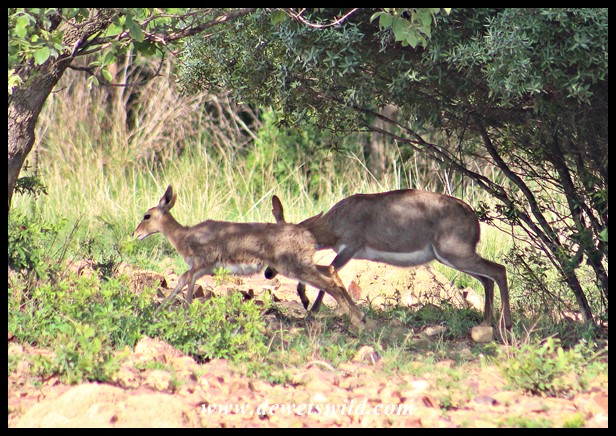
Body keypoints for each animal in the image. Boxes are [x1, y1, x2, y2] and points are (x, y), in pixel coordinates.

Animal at [132, 185, 366, 330]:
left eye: (147, 215)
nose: (135, 234)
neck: (183, 235)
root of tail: (307, 234)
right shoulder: (202, 269)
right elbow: (184, 281)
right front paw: (159, 310)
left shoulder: (199, 264)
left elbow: (185, 281)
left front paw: (182, 313)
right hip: (303, 264)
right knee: (331, 271)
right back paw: (361, 318)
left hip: (293, 267)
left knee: (329, 284)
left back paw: (357, 322)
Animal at [264, 189, 512, 330]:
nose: (268, 272)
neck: (334, 226)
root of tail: (475, 219)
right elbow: (324, 271)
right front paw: (307, 303)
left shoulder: (350, 247)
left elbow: (328, 271)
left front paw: (312, 310)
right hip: (451, 256)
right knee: (487, 278)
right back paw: (486, 322)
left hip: (455, 252)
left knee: (498, 269)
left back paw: (505, 324)